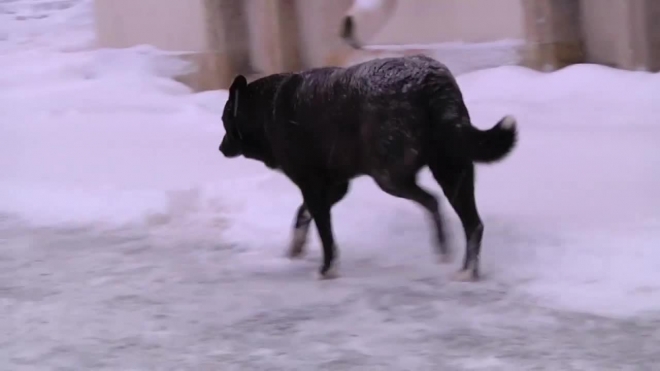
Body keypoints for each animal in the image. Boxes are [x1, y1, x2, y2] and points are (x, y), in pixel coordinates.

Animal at [219, 56, 520, 282]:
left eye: (224, 121)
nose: (221, 148)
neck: (265, 109)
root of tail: (433, 82)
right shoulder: (335, 186)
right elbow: (303, 214)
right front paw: (297, 247)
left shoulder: (314, 186)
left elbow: (325, 233)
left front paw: (327, 270)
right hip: (452, 171)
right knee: (471, 222)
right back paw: (464, 268)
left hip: (389, 177)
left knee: (434, 202)